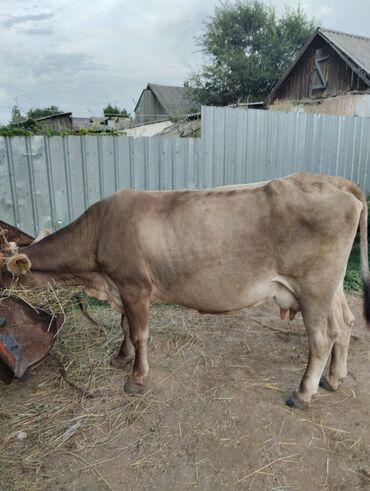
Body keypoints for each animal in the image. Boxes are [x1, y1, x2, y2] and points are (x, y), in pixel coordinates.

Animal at [0, 174, 370, 412]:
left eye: (3, 275)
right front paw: (120, 358)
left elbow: (139, 333)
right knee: (345, 324)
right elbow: (124, 327)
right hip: (330, 287)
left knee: (322, 337)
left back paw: (303, 394)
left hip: (314, 287)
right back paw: (333, 379)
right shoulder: (122, 288)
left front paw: (137, 378)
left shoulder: (135, 286)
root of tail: (335, 181)